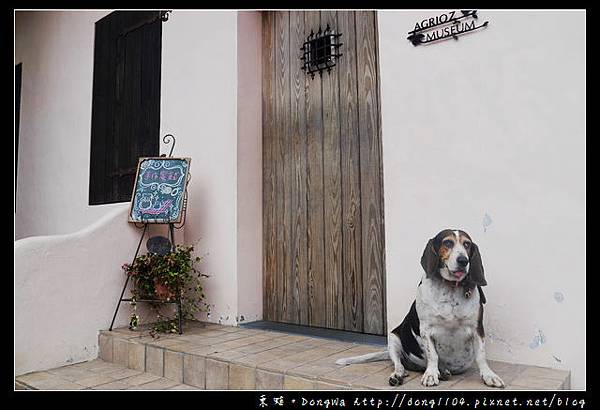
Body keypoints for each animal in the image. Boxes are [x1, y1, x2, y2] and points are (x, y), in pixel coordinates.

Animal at [336, 231, 504, 388]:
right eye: (448, 243)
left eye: (467, 244)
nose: (463, 260)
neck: (450, 287)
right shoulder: (426, 330)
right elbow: (433, 355)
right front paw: (431, 374)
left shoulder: (477, 329)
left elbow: (481, 356)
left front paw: (489, 376)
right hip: (393, 339)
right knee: (399, 364)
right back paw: (400, 375)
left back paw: (443, 372)